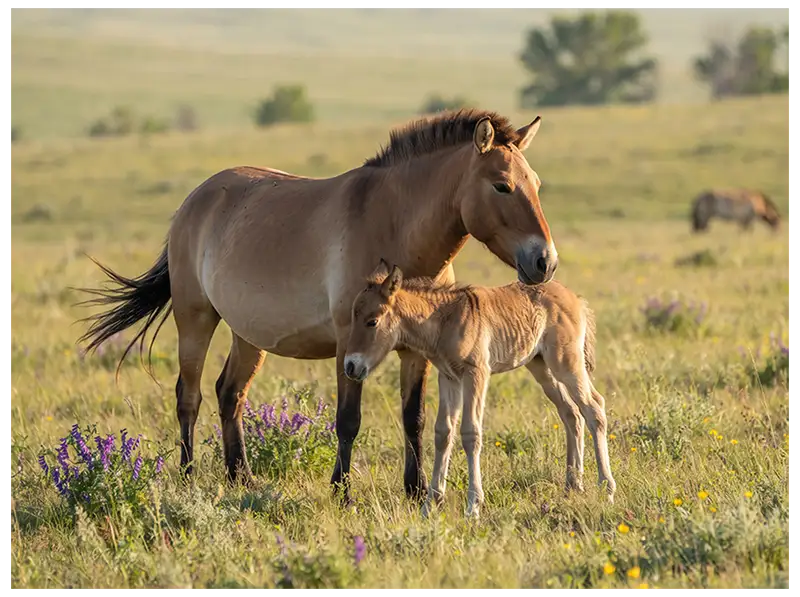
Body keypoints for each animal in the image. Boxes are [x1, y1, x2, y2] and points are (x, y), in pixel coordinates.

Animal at [78, 109, 559, 503]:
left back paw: (240, 478)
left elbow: (414, 419)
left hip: (248, 335)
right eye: (502, 186)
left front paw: (416, 489)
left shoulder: (415, 351)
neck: (394, 225)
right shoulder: (350, 342)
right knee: (189, 396)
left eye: (537, 185)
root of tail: (195, 199)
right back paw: (189, 476)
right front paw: (342, 492)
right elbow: (348, 420)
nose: (545, 261)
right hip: (194, 319)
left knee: (229, 393)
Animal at [344, 260, 614, 519]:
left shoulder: (476, 373)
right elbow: (443, 432)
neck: (444, 320)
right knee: (572, 413)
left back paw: (606, 488)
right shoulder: (448, 377)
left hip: (566, 364)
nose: (350, 366)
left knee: (594, 407)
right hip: (542, 368)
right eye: (353, 317)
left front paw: (473, 506)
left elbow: (470, 432)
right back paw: (573, 486)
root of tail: (576, 299)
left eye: (372, 321)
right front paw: (430, 505)